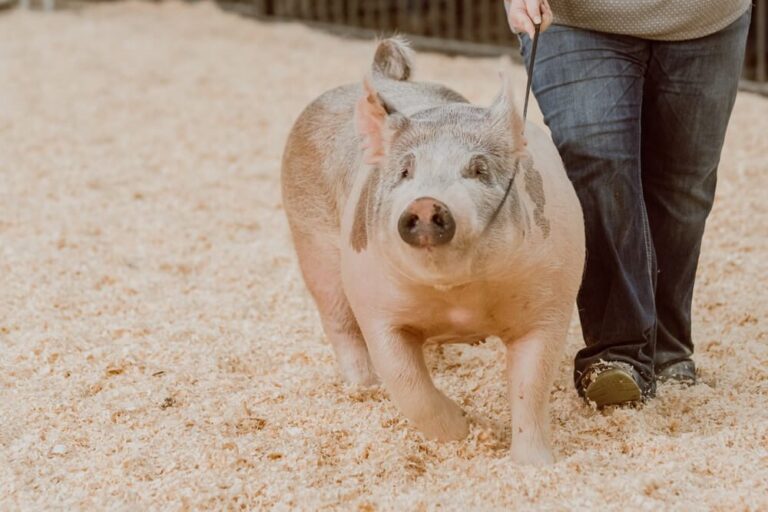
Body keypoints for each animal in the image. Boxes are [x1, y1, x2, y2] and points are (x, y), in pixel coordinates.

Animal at [281, 37, 584, 465]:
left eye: (478, 170)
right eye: (405, 172)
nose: (426, 204)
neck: (456, 297)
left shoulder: (551, 299)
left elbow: (531, 385)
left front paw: (535, 465)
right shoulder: (375, 303)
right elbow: (407, 384)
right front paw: (467, 429)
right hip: (311, 242)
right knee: (338, 321)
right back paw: (364, 387)